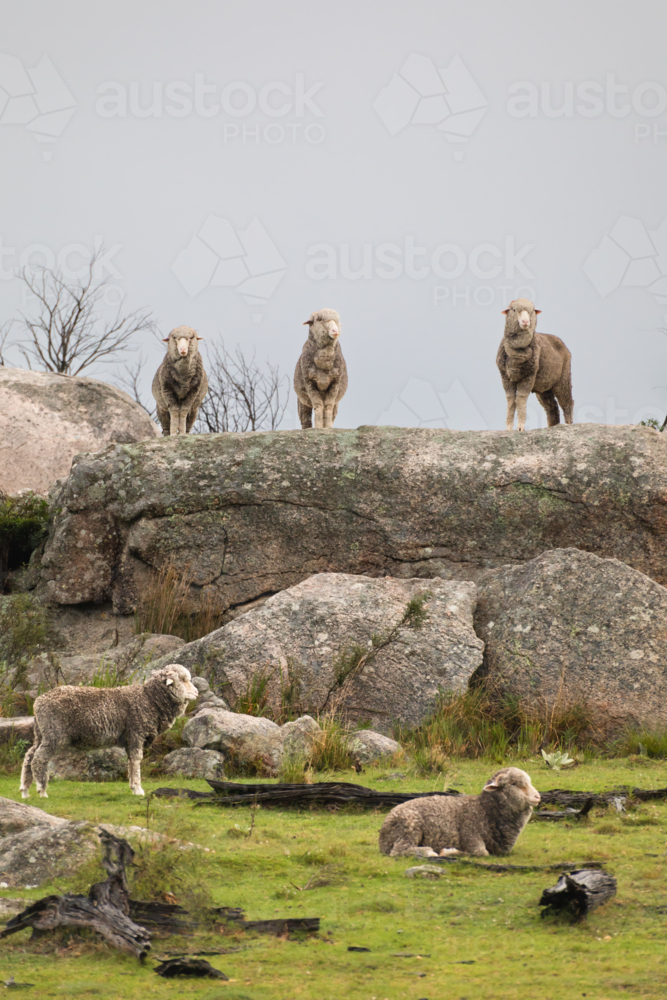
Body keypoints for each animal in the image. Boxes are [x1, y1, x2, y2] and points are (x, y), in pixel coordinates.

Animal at [19, 664, 199, 799]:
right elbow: (136, 760)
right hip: (53, 734)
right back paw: (41, 790)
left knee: (29, 756)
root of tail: (39, 701)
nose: (197, 693)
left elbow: (130, 761)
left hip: (41, 733)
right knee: (39, 759)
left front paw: (132, 787)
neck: (150, 699)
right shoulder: (136, 732)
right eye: (183, 680)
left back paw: (25, 790)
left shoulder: (129, 737)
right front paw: (138, 789)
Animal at [378, 767, 540, 857]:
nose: (537, 797)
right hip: (409, 829)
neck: (486, 811)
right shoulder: (470, 835)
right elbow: (481, 853)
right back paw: (428, 852)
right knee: (398, 851)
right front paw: (448, 852)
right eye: (514, 783)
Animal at [496, 298, 573, 431]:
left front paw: (521, 427)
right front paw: (509, 427)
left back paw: (568, 424)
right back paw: (552, 426)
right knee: (551, 406)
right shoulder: (505, 377)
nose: (525, 321)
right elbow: (511, 400)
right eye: (513, 309)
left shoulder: (528, 376)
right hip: (544, 386)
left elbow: (520, 399)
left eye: (532, 311)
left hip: (563, 378)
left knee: (567, 401)